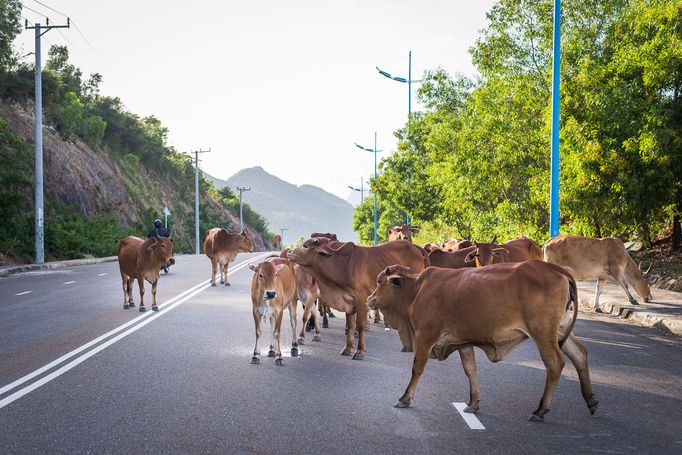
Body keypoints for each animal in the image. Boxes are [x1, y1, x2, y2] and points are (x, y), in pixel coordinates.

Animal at [286, 239, 424, 360]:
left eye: (305, 245)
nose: (289, 251)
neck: (344, 265)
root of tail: (416, 248)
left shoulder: (361, 299)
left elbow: (360, 325)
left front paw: (359, 351)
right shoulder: (348, 302)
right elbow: (351, 325)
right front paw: (347, 348)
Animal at [366, 262, 596, 422]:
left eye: (379, 281)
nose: (369, 299)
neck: (415, 291)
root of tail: (554, 267)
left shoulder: (425, 337)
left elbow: (417, 368)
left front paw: (405, 398)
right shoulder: (463, 342)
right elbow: (470, 369)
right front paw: (473, 402)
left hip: (543, 333)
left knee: (555, 364)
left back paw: (540, 410)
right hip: (561, 330)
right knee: (580, 354)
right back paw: (591, 400)